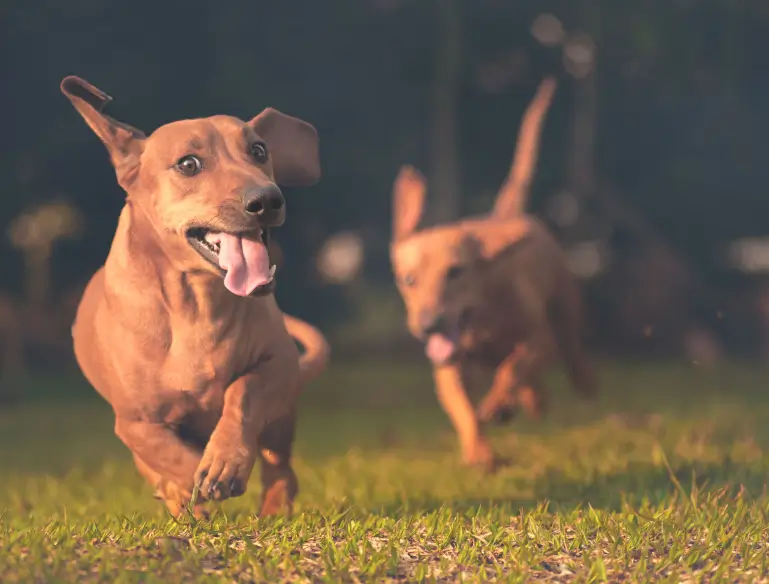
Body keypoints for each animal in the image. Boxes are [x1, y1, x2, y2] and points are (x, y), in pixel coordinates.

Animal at [62, 75, 330, 516]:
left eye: (259, 151)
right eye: (188, 164)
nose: (267, 199)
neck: (195, 306)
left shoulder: (279, 364)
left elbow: (243, 393)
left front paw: (224, 461)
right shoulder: (134, 422)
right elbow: (167, 454)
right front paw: (193, 482)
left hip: (281, 419)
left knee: (281, 468)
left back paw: (273, 508)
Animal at [390, 76, 592, 470]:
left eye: (455, 272)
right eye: (409, 280)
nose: (428, 326)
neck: (480, 320)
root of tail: (505, 213)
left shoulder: (538, 338)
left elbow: (513, 368)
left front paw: (498, 404)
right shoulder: (448, 367)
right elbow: (463, 407)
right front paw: (479, 451)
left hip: (565, 305)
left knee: (569, 345)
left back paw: (577, 384)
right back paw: (528, 403)